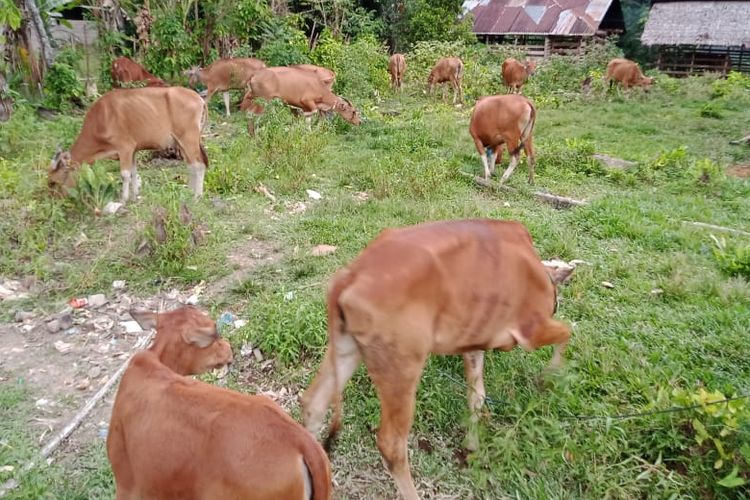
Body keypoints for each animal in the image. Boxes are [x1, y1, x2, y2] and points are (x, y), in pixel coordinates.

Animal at [48, 87, 209, 203]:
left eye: (53, 182)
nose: (54, 201)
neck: (102, 119)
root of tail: (199, 98)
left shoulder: (125, 148)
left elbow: (125, 174)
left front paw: (124, 199)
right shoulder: (133, 151)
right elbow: (133, 171)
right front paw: (134, 195)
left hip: (189, 139)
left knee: (199, 165)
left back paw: (197, 196)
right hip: (181, 143)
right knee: (191, 166)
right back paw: (189, 192)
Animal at [302, 220, 572, 500]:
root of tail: (350, 275)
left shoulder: (474, 344)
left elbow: (477, 396)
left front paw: (472, 446)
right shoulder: (532, 329)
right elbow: (567, 332)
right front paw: (549, 377)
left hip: (347, 349)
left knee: (314, 405)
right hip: (402, 367)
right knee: (391, 443)